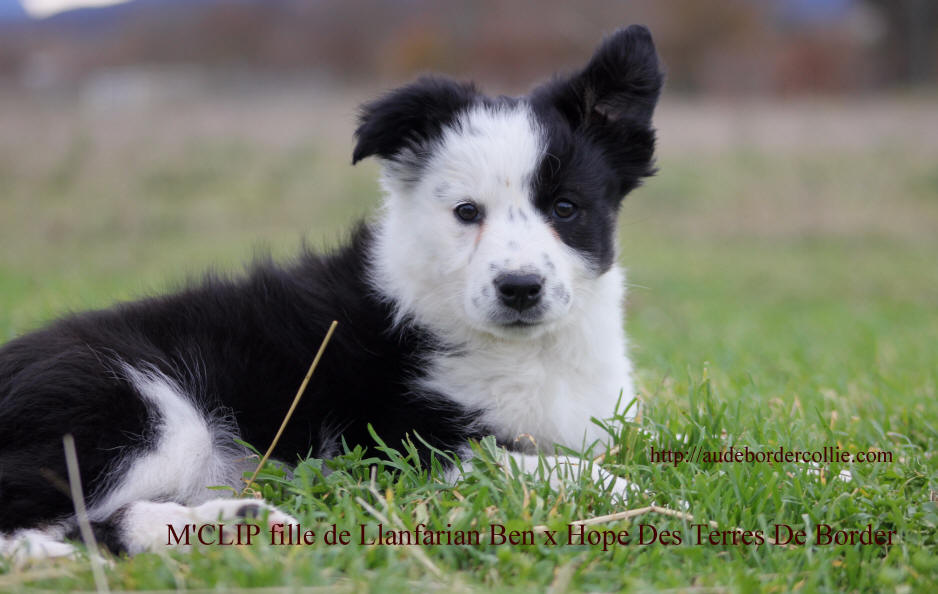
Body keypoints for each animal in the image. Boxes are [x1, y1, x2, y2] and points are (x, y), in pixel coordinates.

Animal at [0, 25, 660, 556]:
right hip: (139, 414)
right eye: (466, 213)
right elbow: (532, 462)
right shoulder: (399, 444)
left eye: (565, 208)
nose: (519, 288)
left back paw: (240, 523)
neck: (526, 350)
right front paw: (632, 494)